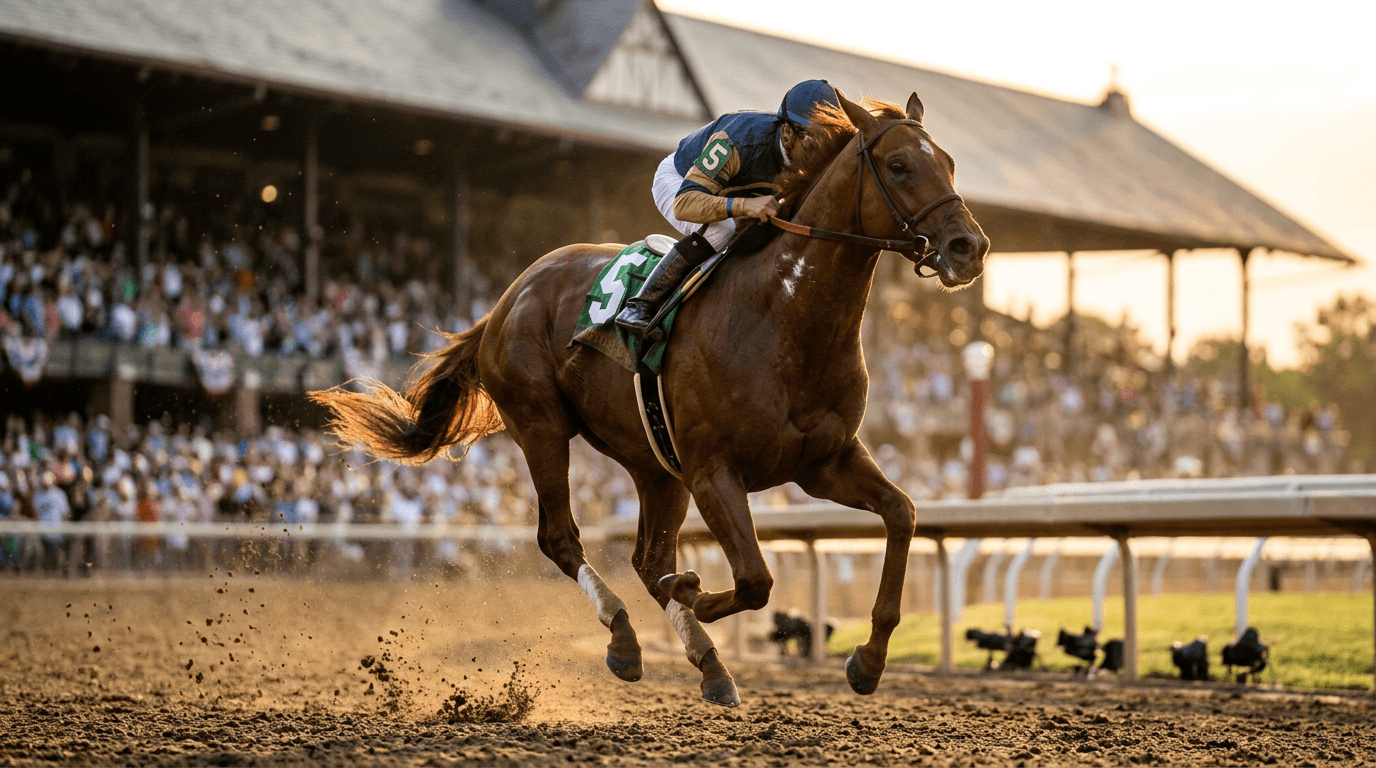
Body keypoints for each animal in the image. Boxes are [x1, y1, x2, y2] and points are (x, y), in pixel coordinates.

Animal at [311, 90, 989, 706]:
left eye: (951, 163)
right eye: (898, 165)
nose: (969, 248)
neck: (785, 317)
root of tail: (509, 296)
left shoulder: (824, 462)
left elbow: (902, 514)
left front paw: (868, 661)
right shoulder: (715, 469)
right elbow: (754, 579)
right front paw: (696, 592)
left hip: (655, 465)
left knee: (645, 557)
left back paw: (710, 666)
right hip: (541, 425)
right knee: (562, 539)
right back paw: (626, 640)